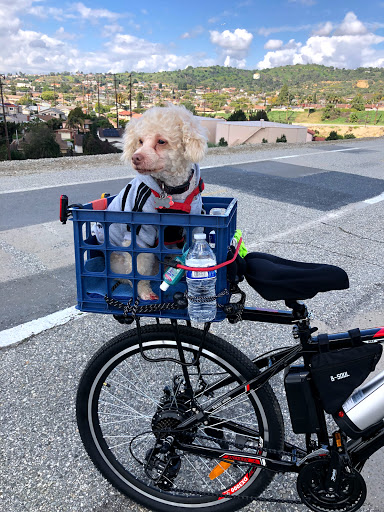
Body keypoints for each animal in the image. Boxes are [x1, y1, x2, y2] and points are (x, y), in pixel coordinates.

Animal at [98, 106, 207, 302]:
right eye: (140, 141)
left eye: (161, 141)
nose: (135, 157)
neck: (171, 190)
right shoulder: (140, 235)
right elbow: (140, 268)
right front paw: (144, 292)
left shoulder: (193, 227)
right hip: (118, 261)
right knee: (126, 274)